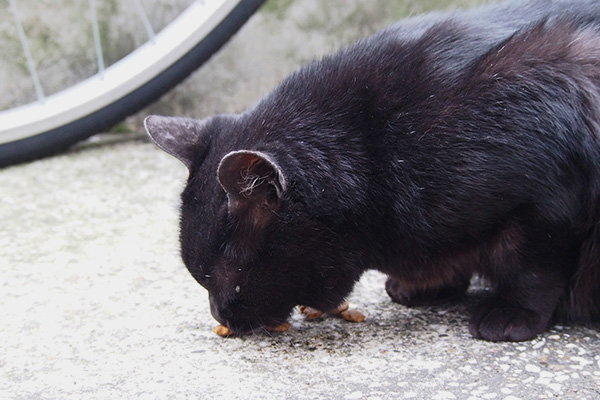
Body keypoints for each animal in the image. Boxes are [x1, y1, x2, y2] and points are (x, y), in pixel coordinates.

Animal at [144, 0, 600, 342]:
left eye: (229, 278)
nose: (218, 314)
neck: (378, 149)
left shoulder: (546, 198)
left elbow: (534, 266)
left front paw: (512, 312)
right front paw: (426, 283)